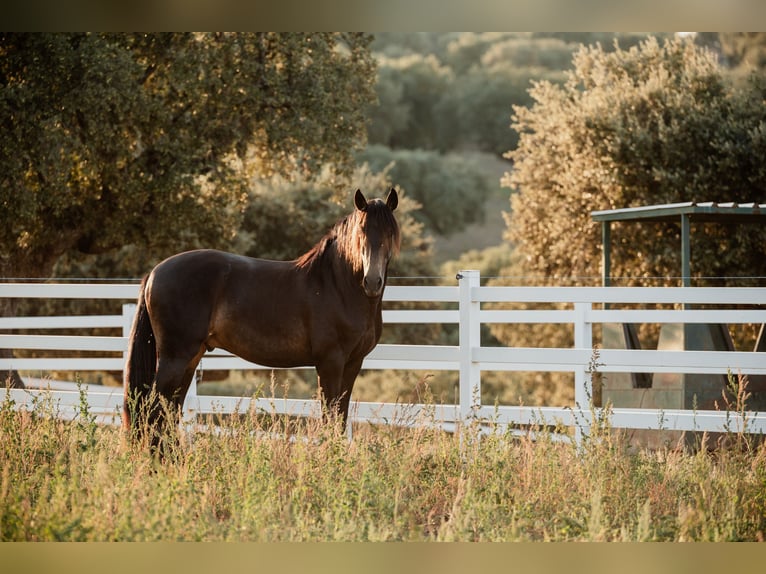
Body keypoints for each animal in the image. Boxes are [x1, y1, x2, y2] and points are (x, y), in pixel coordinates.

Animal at [123, 189, 402, 450]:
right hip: (174, 358)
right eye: (362, 231)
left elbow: (340, 419)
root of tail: (155, 272)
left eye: (390, 232)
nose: (372, 282)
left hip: (189, 360)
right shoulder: (330, 363)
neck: (337, 285)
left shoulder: (353, 363)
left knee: (169, 412)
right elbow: (329, 419)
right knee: (153, 411)